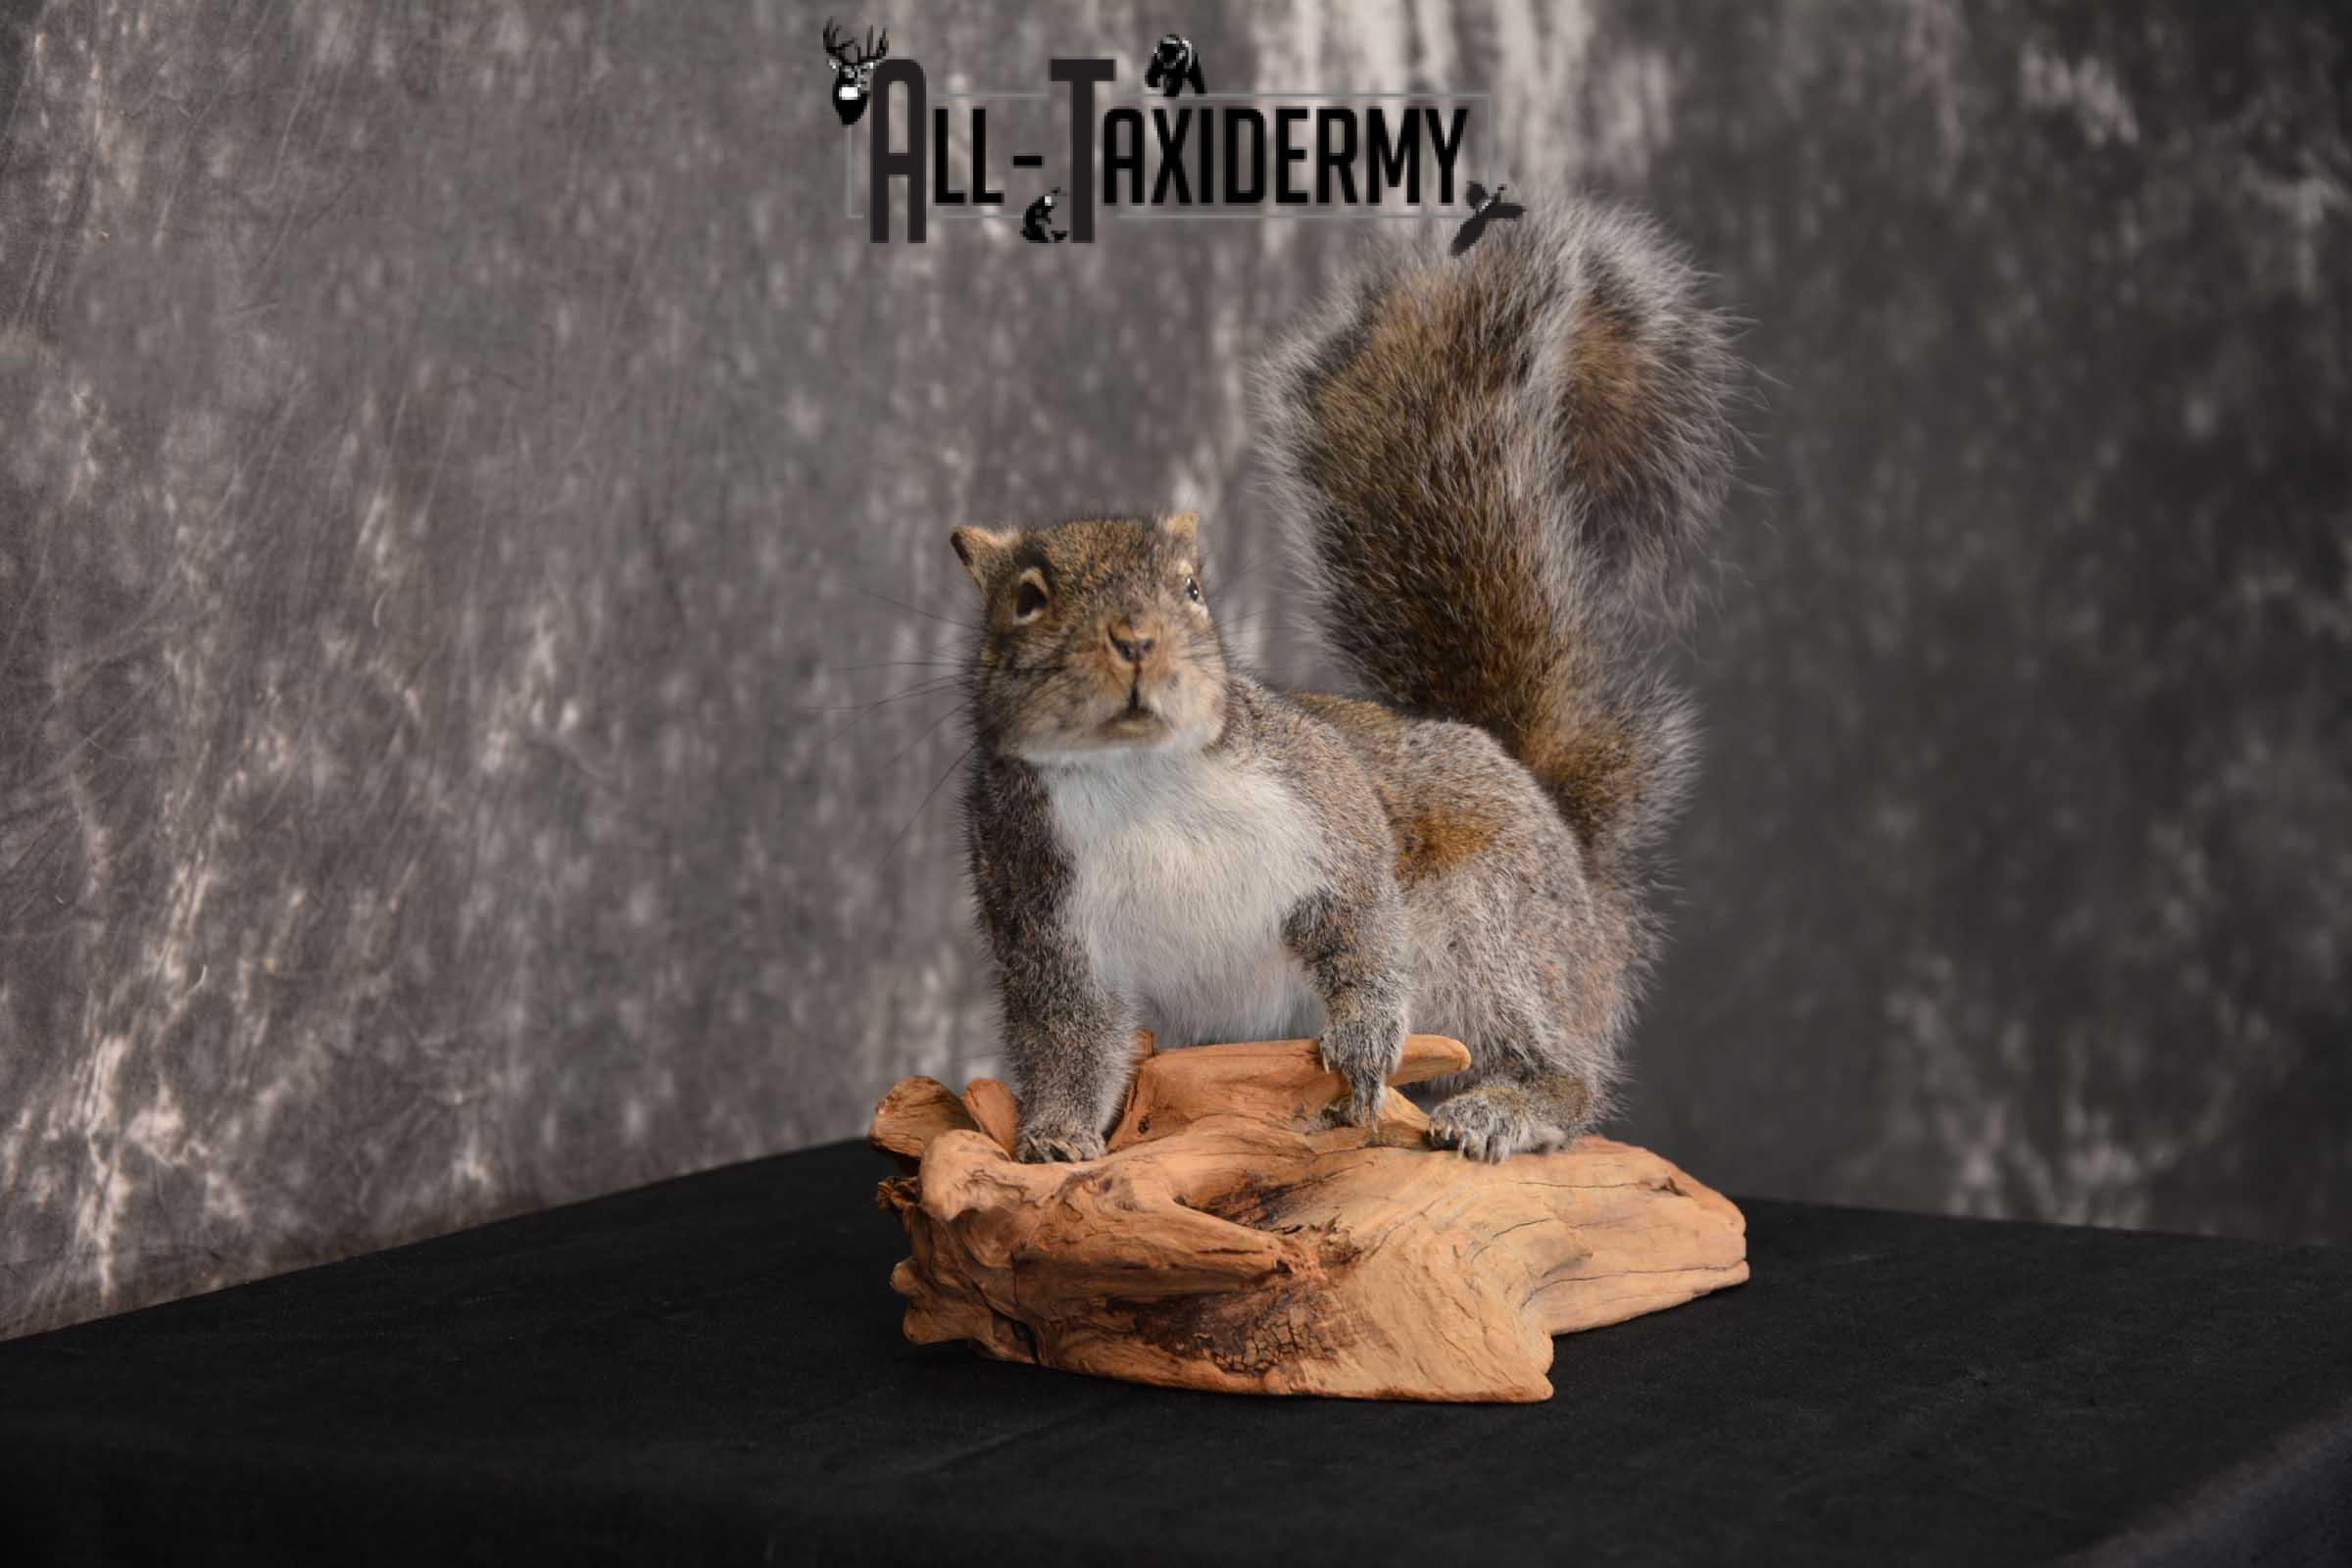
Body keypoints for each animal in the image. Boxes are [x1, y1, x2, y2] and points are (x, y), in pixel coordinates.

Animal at [948, 194, 1736, 1163]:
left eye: (1193, 589)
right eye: (1026, 601)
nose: (1136, 640)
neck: (1136, 779)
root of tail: (1586, 892)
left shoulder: (1323, 799)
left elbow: (1363, 918)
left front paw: (1365, 1033)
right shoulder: (1038, 910)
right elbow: (1066, 1036)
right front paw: (1055, 1136)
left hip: (1496, 920)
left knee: (1559, 1066)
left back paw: (1507, 1106)